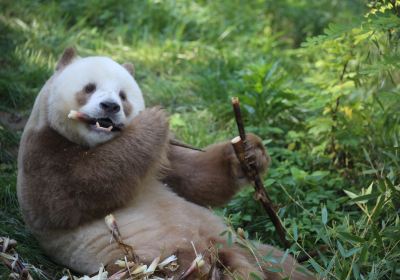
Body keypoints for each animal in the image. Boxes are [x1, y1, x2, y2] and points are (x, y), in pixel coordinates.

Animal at [18, 48, 312, 280]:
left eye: (123, 96)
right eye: (89, 87)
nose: (110, 106)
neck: (98, 144)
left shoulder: (164, 157)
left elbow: (196, 180)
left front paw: (249, 152)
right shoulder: (42, 151)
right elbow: (74, 192)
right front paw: (154, 121)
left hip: (237, 240)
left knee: (282, 263)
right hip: (152, 257)